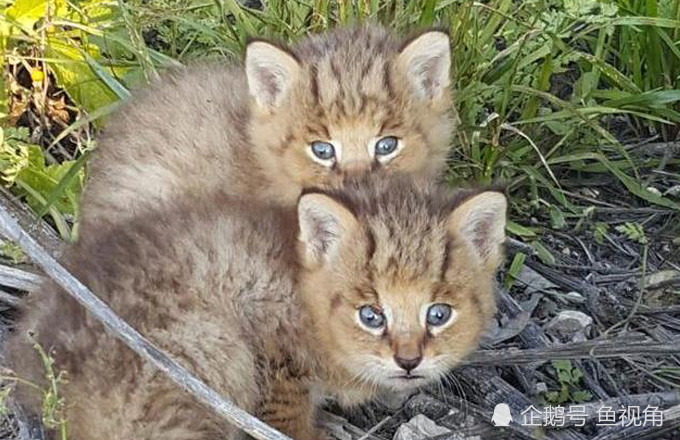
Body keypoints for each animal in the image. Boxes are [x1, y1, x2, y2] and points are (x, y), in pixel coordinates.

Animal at [7, 174, 508, 440]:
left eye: (438, 314)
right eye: (371, 315)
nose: (408, 361)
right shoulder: (272, 357)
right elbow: (287, 418)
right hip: (211, 348)